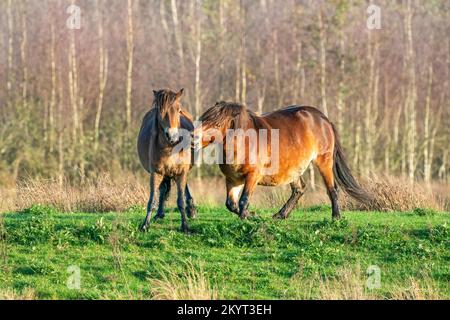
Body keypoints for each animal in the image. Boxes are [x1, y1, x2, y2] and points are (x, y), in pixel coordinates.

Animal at [138, 88, 196, 232]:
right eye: (160, 110)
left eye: (178, 109)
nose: (173, 136)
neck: (170, 148)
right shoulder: (156, 173)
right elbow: (152, 200)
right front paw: (145, 225)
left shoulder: (181, 172)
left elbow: (180, 201)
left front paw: (185, 226)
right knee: (163, 188)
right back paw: (159, 214)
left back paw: (191, 210)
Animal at [193, 102, 372, 220]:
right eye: (204, 118)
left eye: (216, 123)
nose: (193, 136)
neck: (244, 142)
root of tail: (323, 118)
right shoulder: (233, 179)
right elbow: (231, 204)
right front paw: (253, 215)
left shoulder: (252, 176)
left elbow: (243, 201)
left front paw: (247, 218)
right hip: (293, 170)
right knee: (299, 190)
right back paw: (280, 215)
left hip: (324, 162)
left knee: (332, 189)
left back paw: (336, 217)